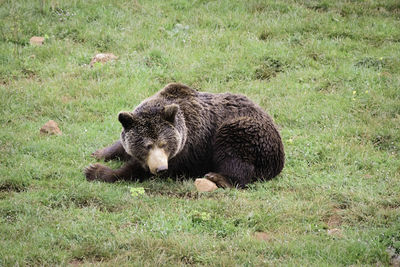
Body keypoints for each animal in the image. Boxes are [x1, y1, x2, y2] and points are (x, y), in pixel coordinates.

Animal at [84, 82, 284, 188]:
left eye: (164, 144)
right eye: (147, 145)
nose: (160, 168)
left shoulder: (186, 150)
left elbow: (137, 170)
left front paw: (95, 171)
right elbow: (120, 145)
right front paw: (99, 153)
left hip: (244, 132)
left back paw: (218, 177)